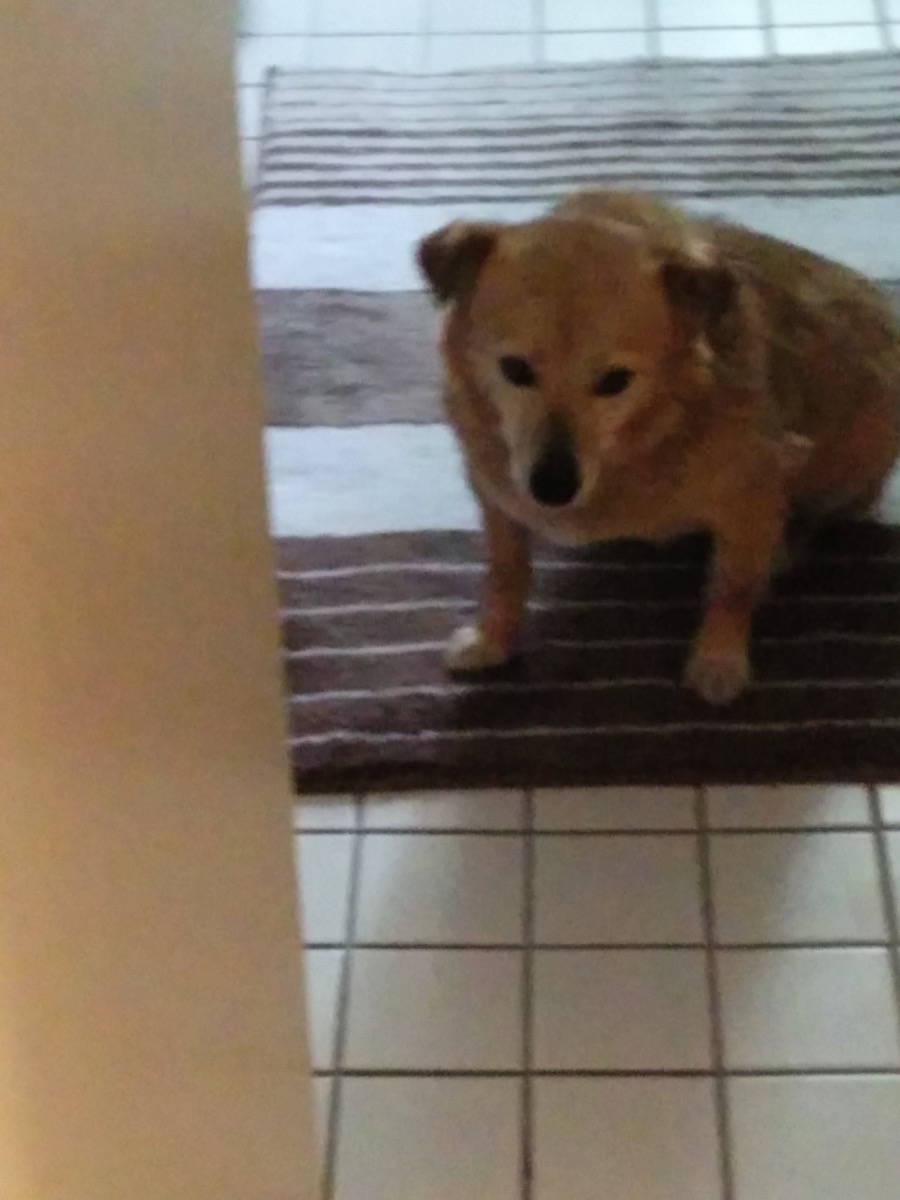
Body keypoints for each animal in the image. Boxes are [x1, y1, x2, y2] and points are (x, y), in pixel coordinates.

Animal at [416, 189, 900, 704]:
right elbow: (506, 572)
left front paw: (718, 659)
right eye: (514, 369)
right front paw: (492, 638)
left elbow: (731, 588)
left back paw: (786, 546)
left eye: (615, 381)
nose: (552, 486)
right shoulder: (497, 497)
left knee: (834, 509)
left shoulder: (751, 496)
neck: (634, 447)